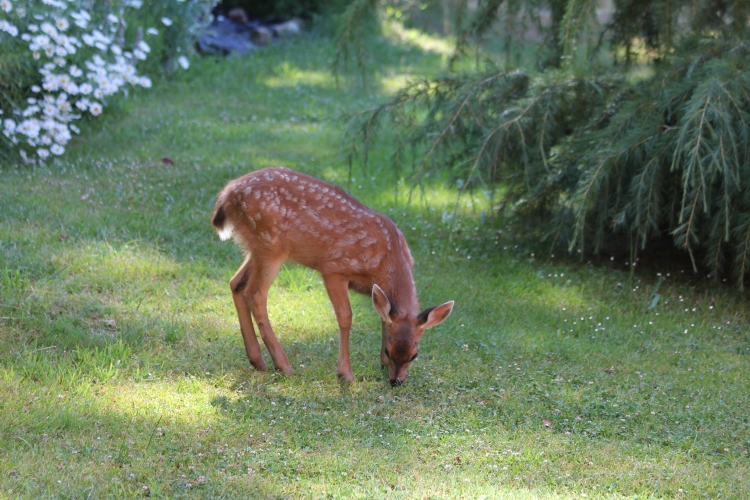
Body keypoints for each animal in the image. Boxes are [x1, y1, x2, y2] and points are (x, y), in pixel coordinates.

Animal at [211, 167, 454, 386]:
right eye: (389, 349)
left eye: (414, 355)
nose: (396, 381)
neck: (386, 260)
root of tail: (227, 195)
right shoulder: (334, 268)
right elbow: (346, 317)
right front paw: (345, 373)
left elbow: (382, 318)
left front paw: (381, 364)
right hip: (270, 246)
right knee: (255, 294)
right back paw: (283, 365)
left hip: (256, 247)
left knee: (236, 283)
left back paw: (257, 360)